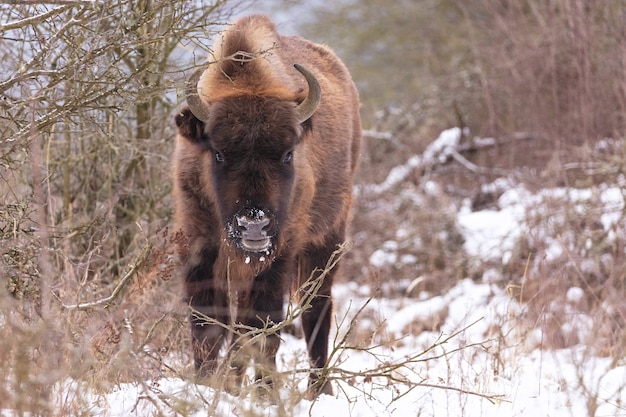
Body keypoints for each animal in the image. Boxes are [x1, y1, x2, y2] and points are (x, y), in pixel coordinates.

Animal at [172, 14, 360, 394]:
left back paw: (319, 389)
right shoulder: (199, 247)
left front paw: (262, 394)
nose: (254, 225)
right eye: (218, 153)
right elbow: (206, 322)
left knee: (315, 309)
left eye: (288, 154)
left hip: (327, 240)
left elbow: (263, 327)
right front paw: (206, 386)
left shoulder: (280, 255)